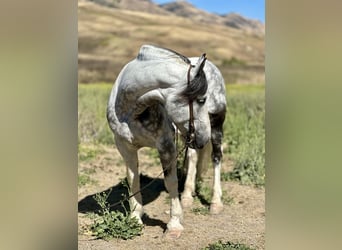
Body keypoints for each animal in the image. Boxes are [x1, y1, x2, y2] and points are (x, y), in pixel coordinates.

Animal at [105, 44, 226, 237]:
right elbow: (133, 179)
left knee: (216, 158)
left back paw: (215, 203)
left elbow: (171, 182)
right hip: (188, 135)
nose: (203, 137)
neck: (132, 111)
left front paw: (174, 224)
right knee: (193, 157)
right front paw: (135, 218)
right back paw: (187, 197)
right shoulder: (125, 147)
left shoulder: (166, 145)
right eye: (201, 100)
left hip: (216, 125)